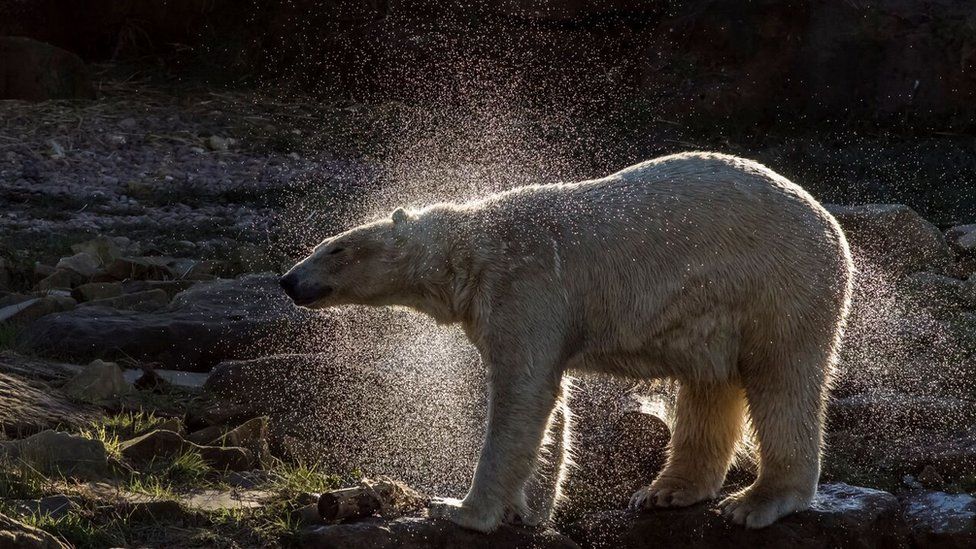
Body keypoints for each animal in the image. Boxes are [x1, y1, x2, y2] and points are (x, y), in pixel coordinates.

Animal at [278, 151, 852, 532]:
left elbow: (522, 395)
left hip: (779, 284)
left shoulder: (525, 285)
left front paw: (462, 510)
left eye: (335, 249)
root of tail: (833, 229)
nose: (288, 280)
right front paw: (528, 510)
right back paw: (666, 492)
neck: (472, 253)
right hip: (722, 311)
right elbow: (550, 403)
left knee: (782, 380)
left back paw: (757, 501)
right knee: (711, 383)